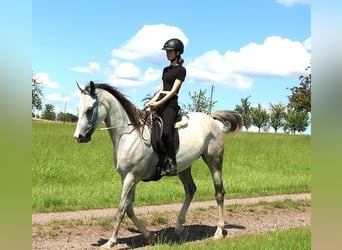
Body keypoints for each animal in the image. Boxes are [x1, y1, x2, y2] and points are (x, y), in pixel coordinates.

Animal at [73, 80, 243, 248]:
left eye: (89, 109)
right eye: (78, 108)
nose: (78, 137)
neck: (129, 135)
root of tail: (211, 118)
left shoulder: (131, 177)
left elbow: (121, 209)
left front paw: (110, 242)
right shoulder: (127, 177)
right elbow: (129, 208)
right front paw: (149, 236)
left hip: (214, 161)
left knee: (219, 193)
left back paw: (218, 232)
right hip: (184, 167)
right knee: (190, 190)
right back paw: (178, 227)